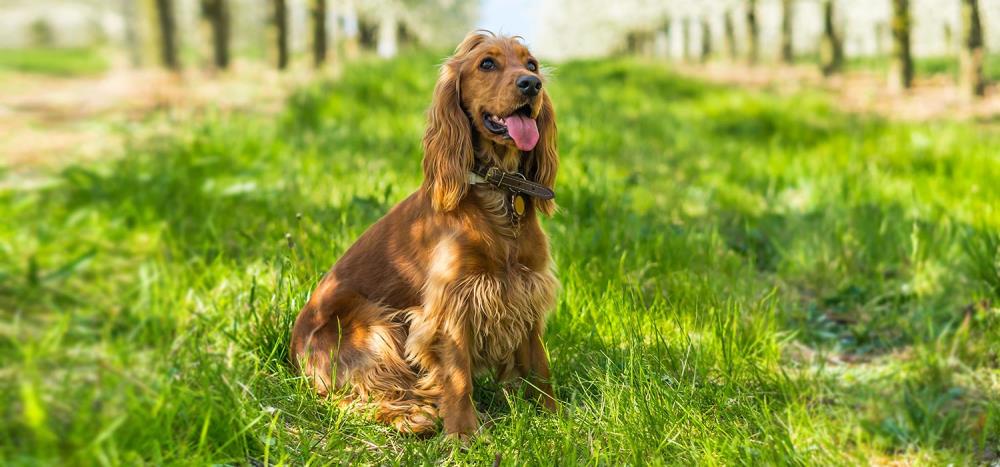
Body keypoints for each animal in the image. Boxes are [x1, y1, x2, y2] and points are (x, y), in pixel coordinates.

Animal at [290, 31, 560, 440]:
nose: (532, 84)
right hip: (372, 325)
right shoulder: (453, 301)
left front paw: (555, 417)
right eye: (487, 63)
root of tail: (292, 353)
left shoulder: (526, 289)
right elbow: (458, 376)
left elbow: (539, 364)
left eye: (531, 64)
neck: (497, 193)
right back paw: (414, 417)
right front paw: (464, 435)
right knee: (355, 398)